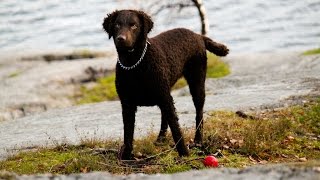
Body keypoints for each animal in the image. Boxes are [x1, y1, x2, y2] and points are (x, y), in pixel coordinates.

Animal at [102, 9, 228, 160]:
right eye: (117, 25)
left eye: (134, 25)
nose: (121, 38)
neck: (135, 64)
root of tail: (198, 35)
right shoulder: (127, 104)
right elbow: (128, 132)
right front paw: (126, 155)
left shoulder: (164, 97)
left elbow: (176, 129)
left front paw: (184, 154)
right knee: (165, 115)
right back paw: (161, 138)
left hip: (196, 83)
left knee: (199, 113)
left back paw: (198, 140)